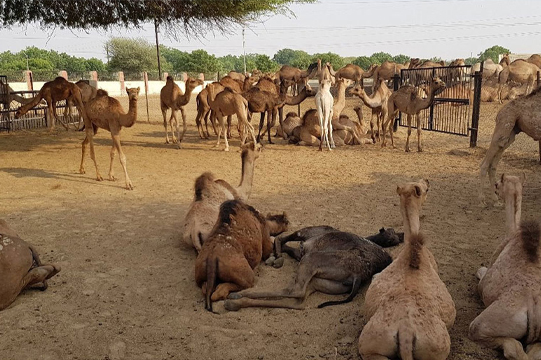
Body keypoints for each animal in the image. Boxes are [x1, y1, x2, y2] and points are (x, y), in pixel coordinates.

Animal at [224, 226, 392, 310]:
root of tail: (358, 275)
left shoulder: (303, 239)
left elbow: (280, 239)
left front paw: (275, 257)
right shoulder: (301, 249)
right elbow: (283, 244)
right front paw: (276, 257)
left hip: (311, 259)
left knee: (295, 291)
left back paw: (237, 296)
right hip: (320, 282)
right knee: (298, 302)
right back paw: (235, 302)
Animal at [468, 174, 540, 360]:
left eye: (497, 184)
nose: (495, 191)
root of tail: (534, 309)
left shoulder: (483, 282)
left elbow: (480, 272)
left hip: (486, 323)